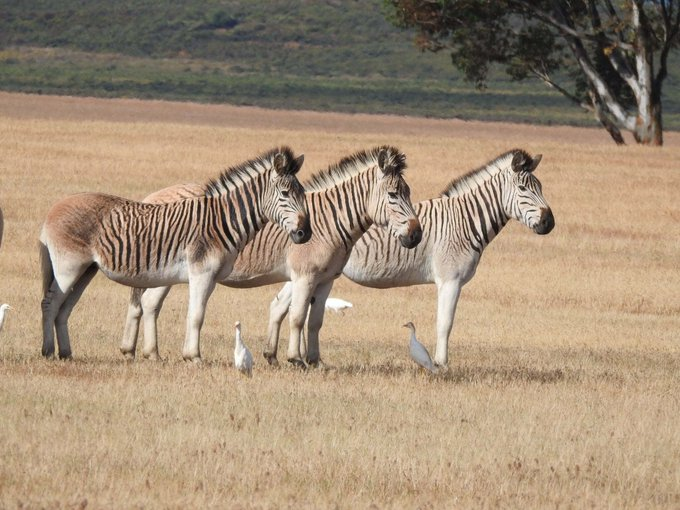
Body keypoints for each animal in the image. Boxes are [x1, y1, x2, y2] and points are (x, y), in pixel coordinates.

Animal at [39, 146, 310, 362]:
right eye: (285, 194)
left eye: (302, 194)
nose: (304, 234)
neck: (221, 222)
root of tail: (53, 208)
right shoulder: (201, 272)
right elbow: (197, 315)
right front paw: (194, 357)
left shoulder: (210, 277)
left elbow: (194, 314)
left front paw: (187, 355)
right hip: (68, 267)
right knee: (50, 303)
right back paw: (48, 352)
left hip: (86, 270)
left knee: (65, 308)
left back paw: (66, 353)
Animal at [119, 145, 422, 364]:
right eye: (394, 195)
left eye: (408, 192)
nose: (417, 235)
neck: (330, 222)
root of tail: (153, 197)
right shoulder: (303, 275)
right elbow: (297, 316)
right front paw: (295, 360)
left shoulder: (325, 279)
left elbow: (313, 321)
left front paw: (312, 361)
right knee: (149, 303)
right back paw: (150, 353)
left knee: (146, 303)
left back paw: (139, 351)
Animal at [270, 147, 552, 366]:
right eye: (524, 188)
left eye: (540, 187)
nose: (549, 222)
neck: (463, 222)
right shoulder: (450, 280)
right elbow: (445, 323)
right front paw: (441, 364)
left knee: (280, 305)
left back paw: (278, 356)